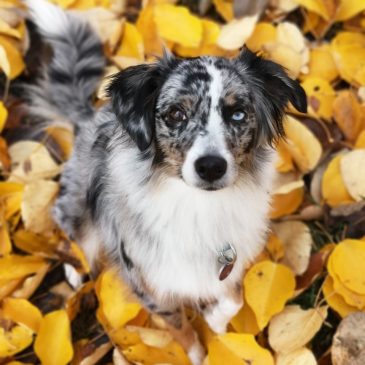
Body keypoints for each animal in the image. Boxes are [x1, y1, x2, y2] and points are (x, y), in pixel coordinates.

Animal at [24, 1, 304, 362]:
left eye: (238, 114)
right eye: (175, 115)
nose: (210, 167)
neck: (199, 208)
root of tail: (89, 118)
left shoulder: (233, 256)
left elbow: (233, 296)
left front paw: (215, 320)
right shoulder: (149, 285)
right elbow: (181, 330)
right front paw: (198, 353)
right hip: (78, 206)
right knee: (73, 231)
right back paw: (76, 267)